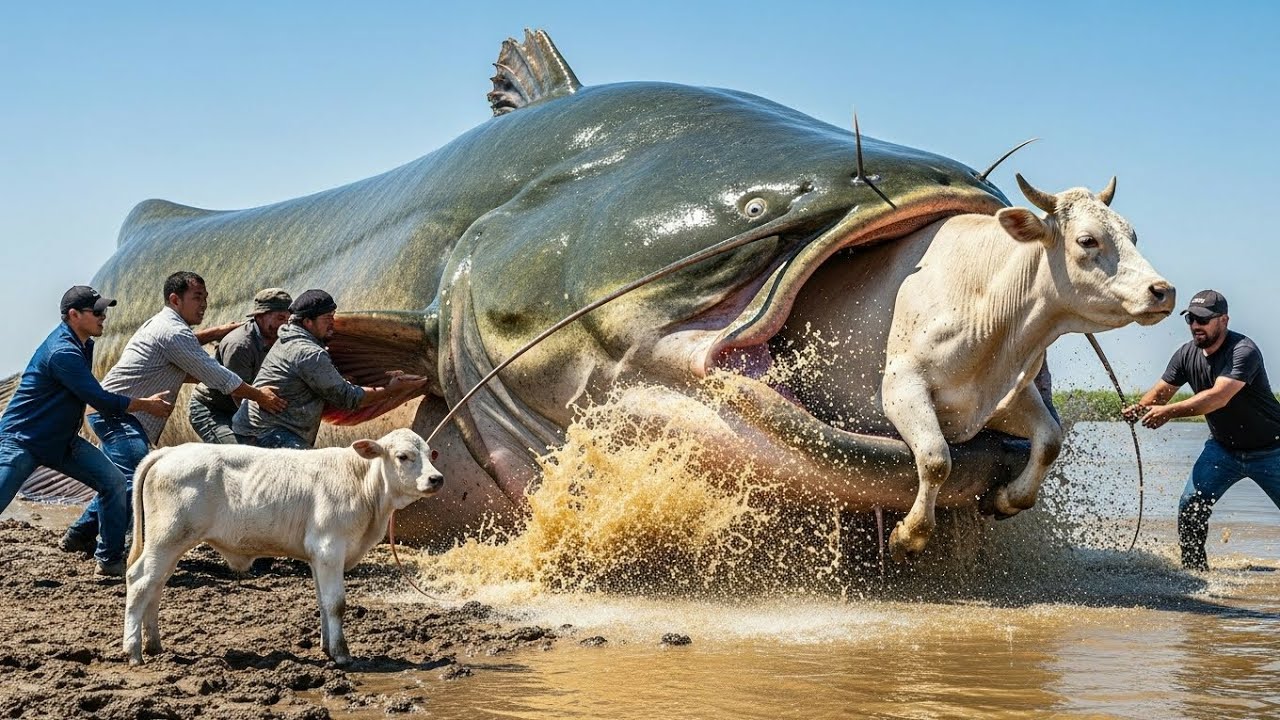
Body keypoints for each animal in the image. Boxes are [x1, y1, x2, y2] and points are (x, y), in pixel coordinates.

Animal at [122, 428, 444, 666]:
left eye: (430, 454)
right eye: (403, 456)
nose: (436, 478)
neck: (362, 483)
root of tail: (170, 451)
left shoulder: (318, 557)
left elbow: (323, 603)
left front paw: (327, 648)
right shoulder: (330, 549)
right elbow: (336, 604)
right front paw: (342, 655)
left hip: (169, 546)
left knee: (156, 586)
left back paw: (153, 644)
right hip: (167, 539)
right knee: (139, 582)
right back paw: (133, 651)